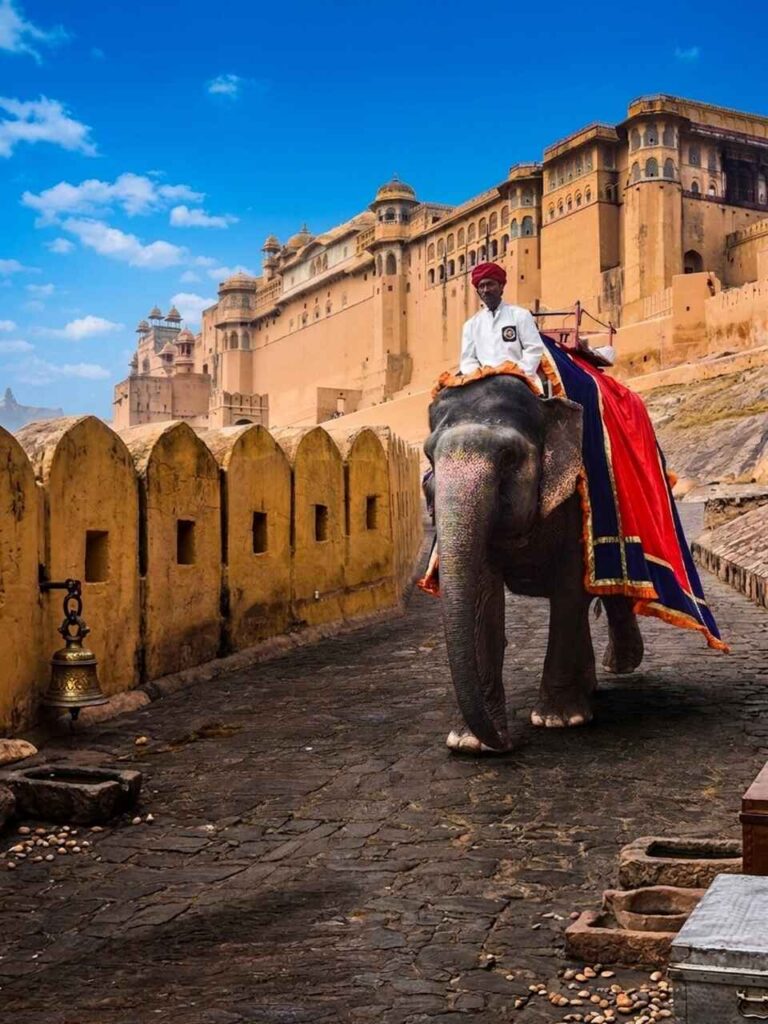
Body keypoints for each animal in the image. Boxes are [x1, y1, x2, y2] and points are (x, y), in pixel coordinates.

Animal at [423, 373, 644, 754]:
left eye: (509, 456)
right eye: (427, 455)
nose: (505, 744)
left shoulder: (576, 497)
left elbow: (570, 587)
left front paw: (558, 721)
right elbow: (482, 594)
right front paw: (469, 744)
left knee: (612, 593)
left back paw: (621, 666)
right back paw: (589, 687)